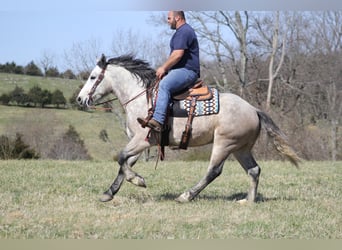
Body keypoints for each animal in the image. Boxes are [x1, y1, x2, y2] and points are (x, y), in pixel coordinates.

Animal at [75, 54, 300, 203]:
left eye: (93, 77)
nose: (79, 99)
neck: (142, 98)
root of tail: (253, 109)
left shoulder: (143, 139)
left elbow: (121, 158)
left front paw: (138, 180)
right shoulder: (139, 142)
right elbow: (124, 163)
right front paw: (109, 192)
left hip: (224, 144)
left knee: (214, 171)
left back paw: (186, 195)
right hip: (240, 148)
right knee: (254, 170)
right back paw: (248, 201)